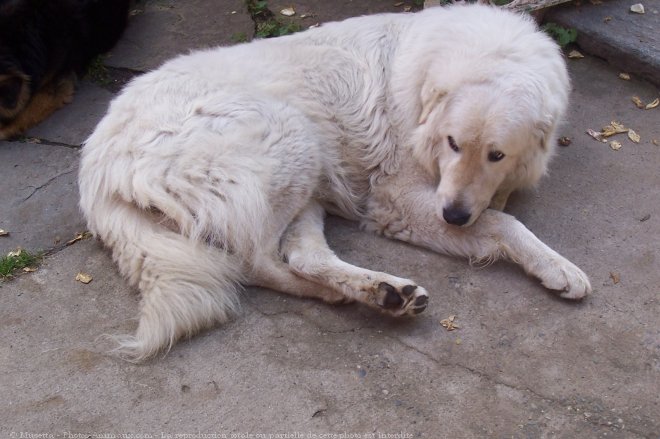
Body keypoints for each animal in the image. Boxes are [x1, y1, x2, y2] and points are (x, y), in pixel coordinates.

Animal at [78, 3, 592, 360]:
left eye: (496, 154)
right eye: (452, 143)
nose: (454, 217)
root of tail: (96, 159)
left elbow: (497, 212)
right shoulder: (397, 201)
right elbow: (505, 224)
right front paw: (560, 267)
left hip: (308, 179)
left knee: (304, 257)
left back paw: (379, 292)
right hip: (291, 137)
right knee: (256, 262)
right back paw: (359, 293)